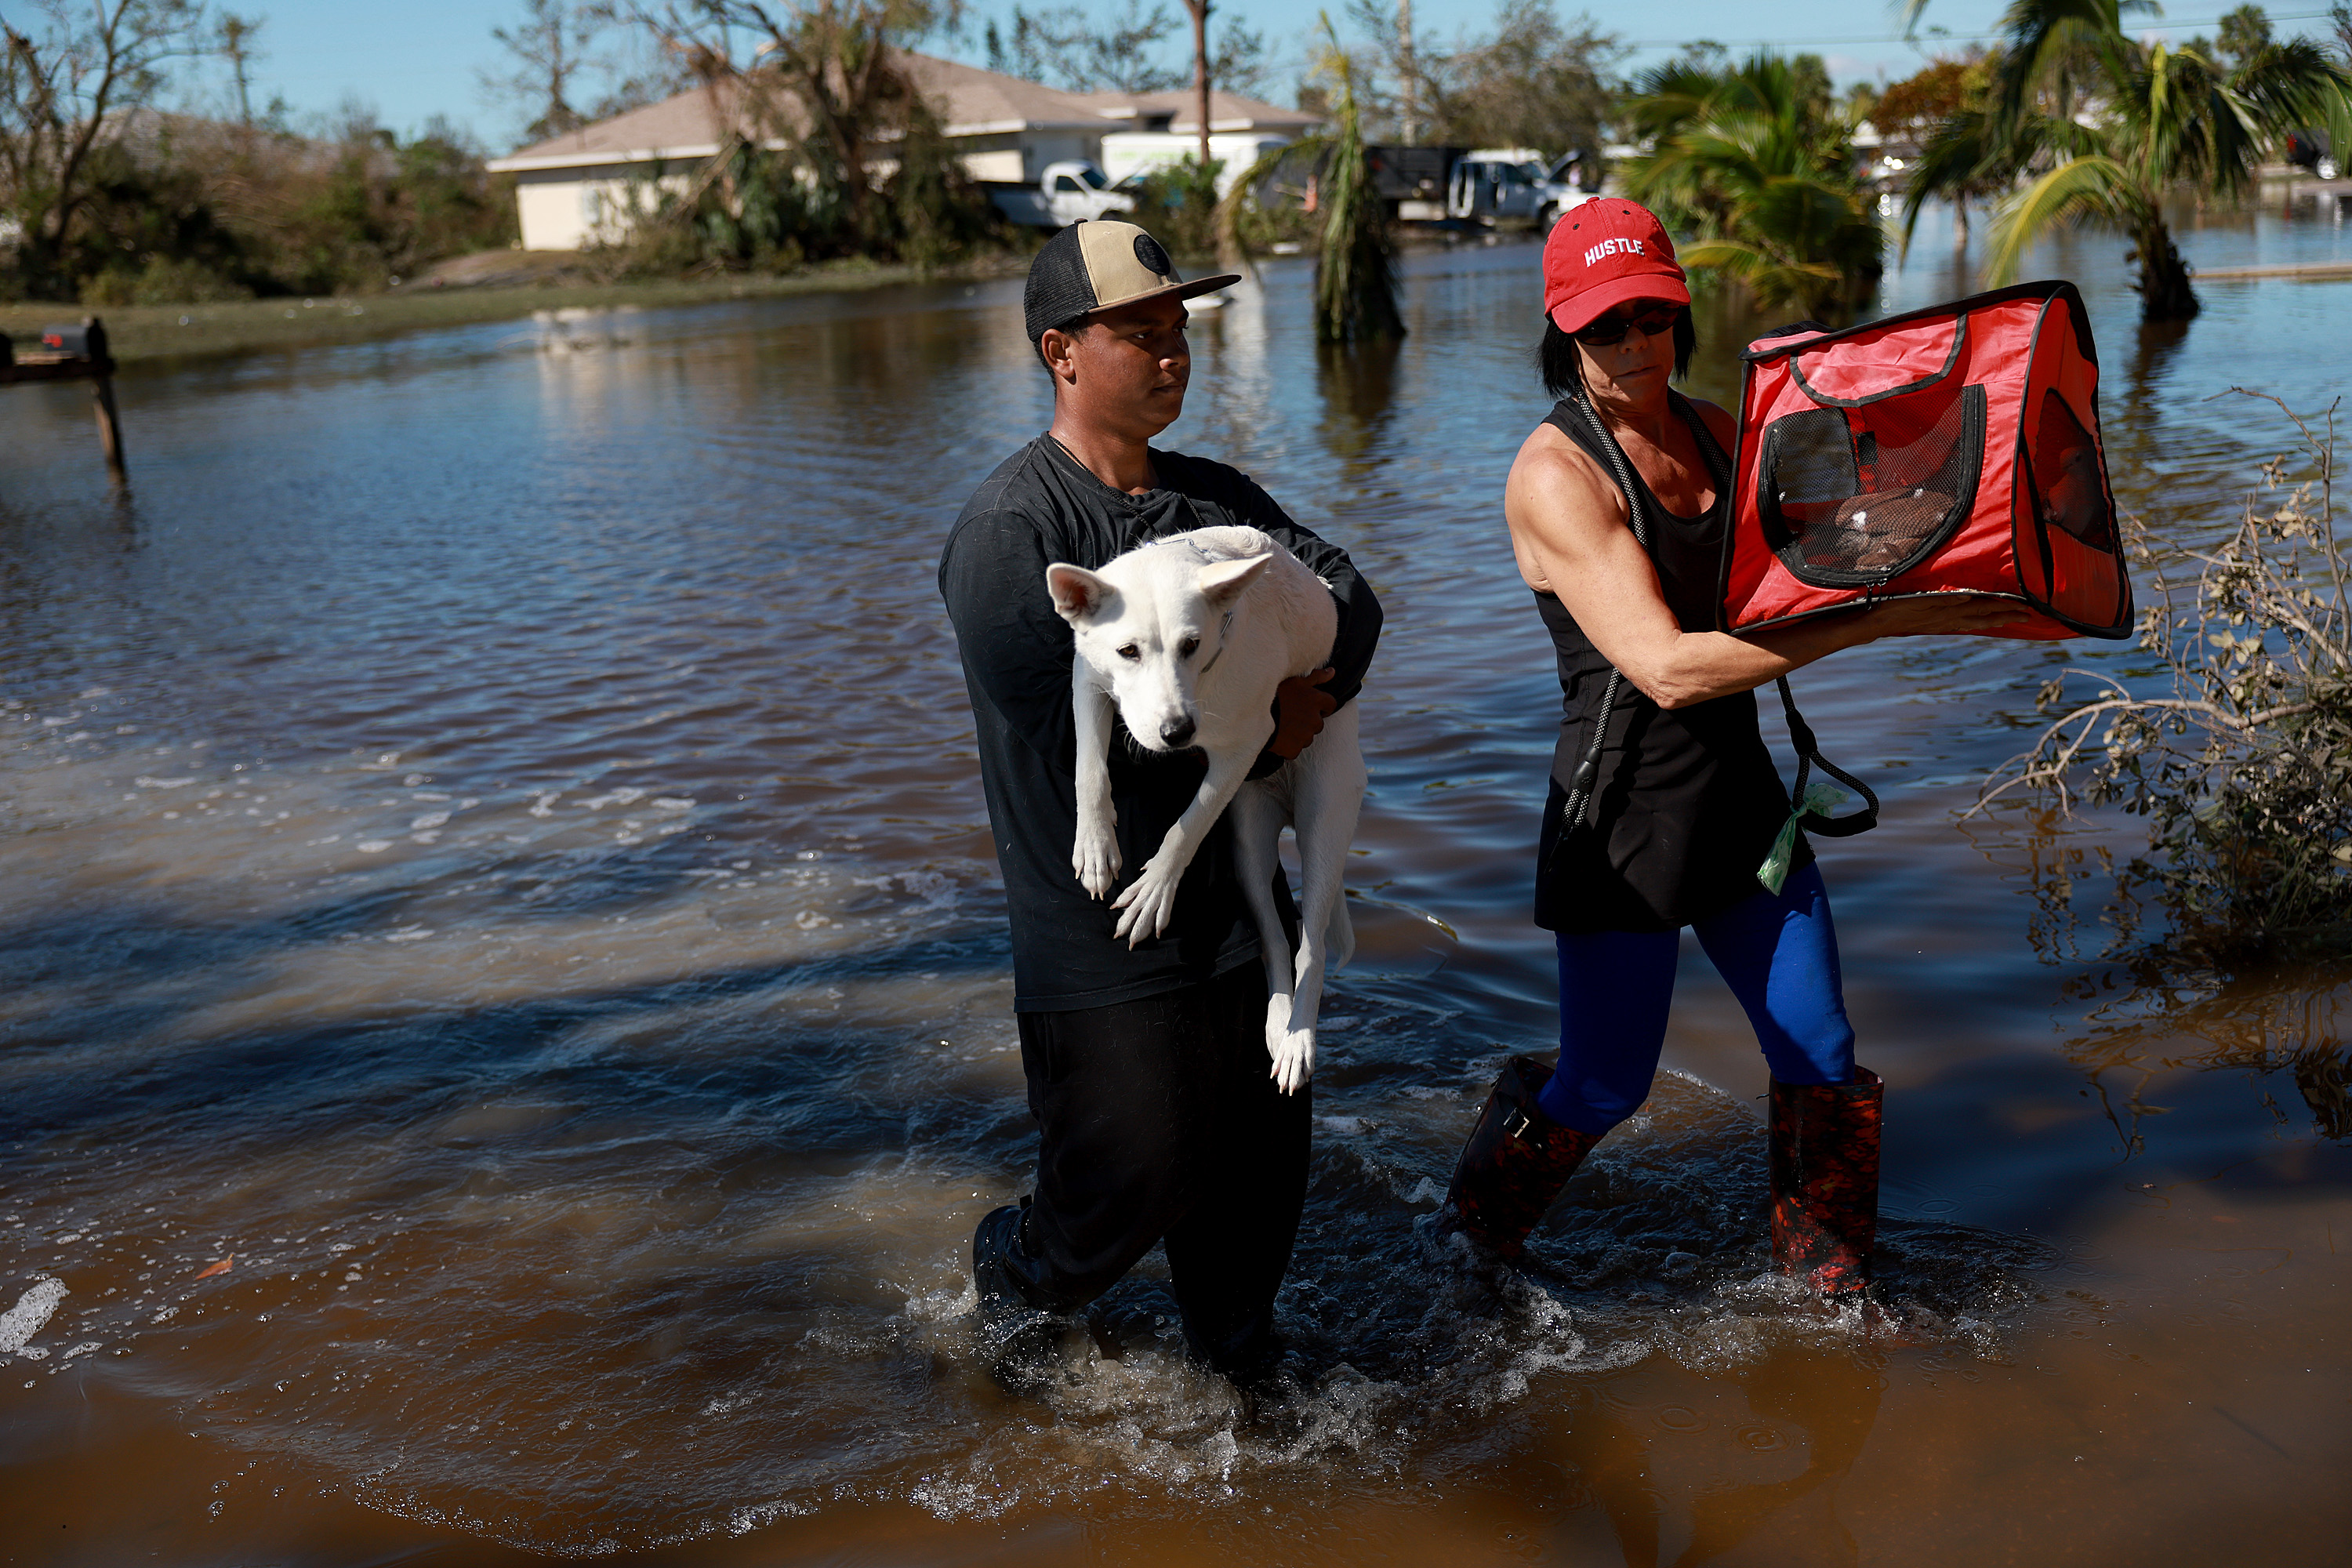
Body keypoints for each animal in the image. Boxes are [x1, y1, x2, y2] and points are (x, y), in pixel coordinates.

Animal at [1044, 526, 1374, 1091]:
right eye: (1127, 650)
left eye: (1191, 645)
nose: (1178, 732)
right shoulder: (1087, 679)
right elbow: (1089, 764)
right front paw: (1095, 845)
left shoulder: (1245, 745)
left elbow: (1190, 824)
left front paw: (1154, 890)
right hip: (1248, 844)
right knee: (1274, 936)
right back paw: (1278, 1023)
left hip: (1324, 820)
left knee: (1311, 944)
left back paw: (1299, 1040)